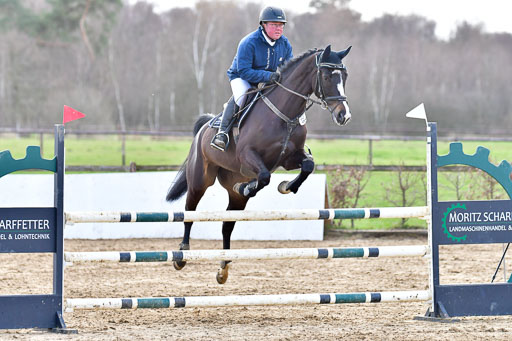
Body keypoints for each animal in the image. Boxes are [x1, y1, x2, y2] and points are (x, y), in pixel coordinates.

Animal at [168, 45, 352, 284]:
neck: (286, 115)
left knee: (227, 225)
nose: (343, 116)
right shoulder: (248, 155)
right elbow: (264, 176)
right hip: (200, 180)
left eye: (345, 77)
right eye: (327, 76)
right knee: (189, 212)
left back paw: (224, 267)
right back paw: (182, 254)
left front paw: (286, 187)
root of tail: (202, 129)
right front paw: (251, 186)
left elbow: (307, 167)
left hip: (235, 196)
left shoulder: (290, 158)